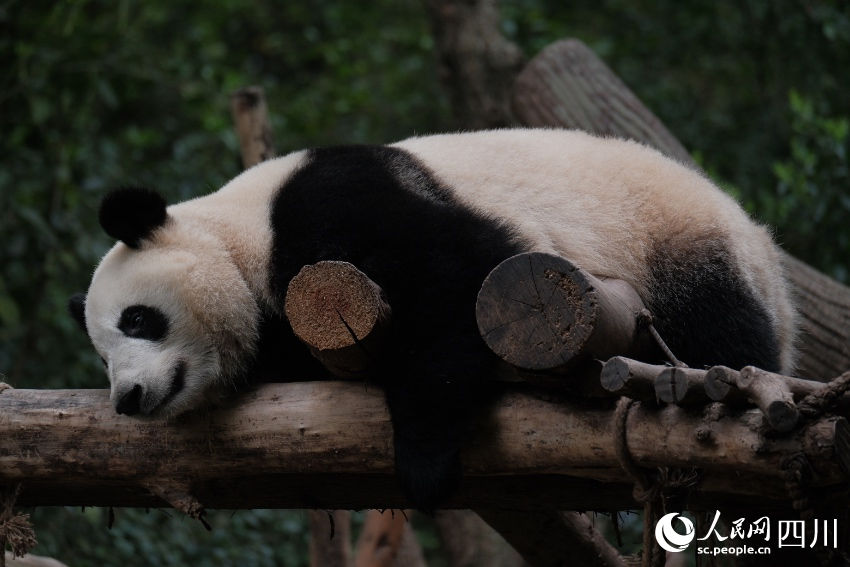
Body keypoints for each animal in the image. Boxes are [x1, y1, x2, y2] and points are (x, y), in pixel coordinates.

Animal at [69, 128, 796, 510]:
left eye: (138, 320)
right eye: (101, 357)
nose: (128, 397)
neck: (240, 232)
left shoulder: (333, 206)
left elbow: (453, 279)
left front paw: (422, 462)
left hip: (677, 248)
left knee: (722, 327)